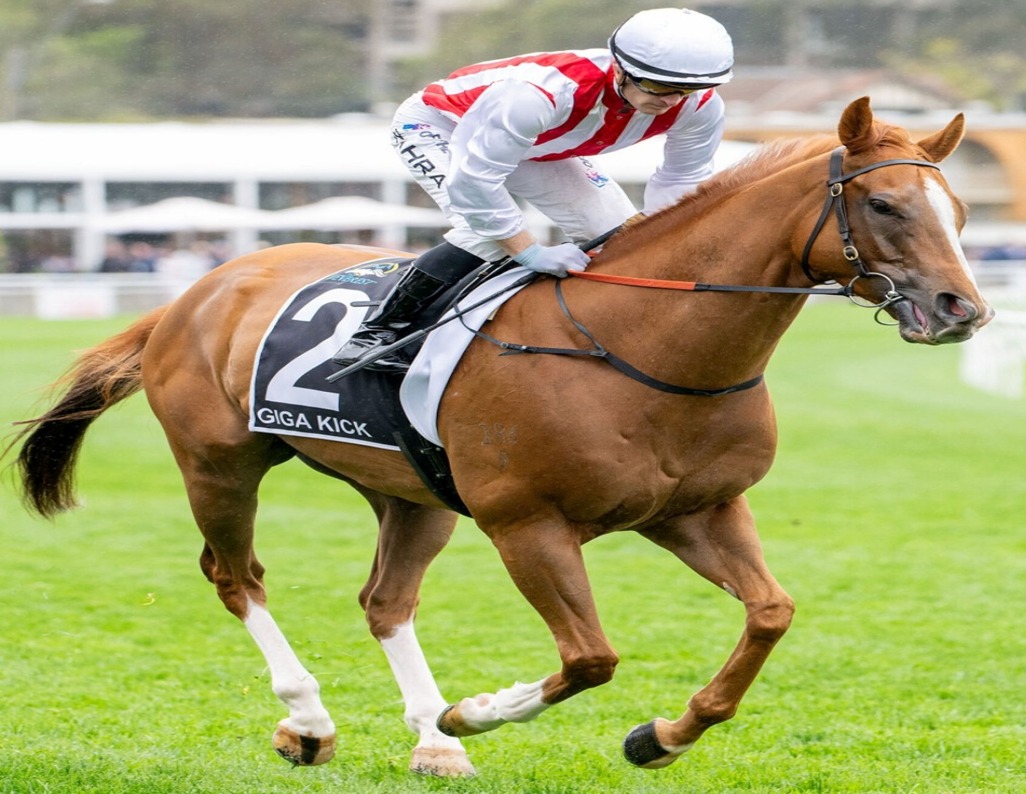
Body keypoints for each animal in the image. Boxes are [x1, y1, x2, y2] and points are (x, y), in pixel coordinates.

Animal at [7, 97, 992, 778]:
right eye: (889, 206)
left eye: (960, 213)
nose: (963, 309)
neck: (645, 347)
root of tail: (198, 289)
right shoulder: (529, 525)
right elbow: (591, 657)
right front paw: (477, 711)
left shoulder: (696, 510)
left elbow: (770, 615)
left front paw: (661, 736)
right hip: (219, 463)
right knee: (236, 577)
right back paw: (314, 722)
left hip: (410, 492)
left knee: (384, 600)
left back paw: (430, 741)